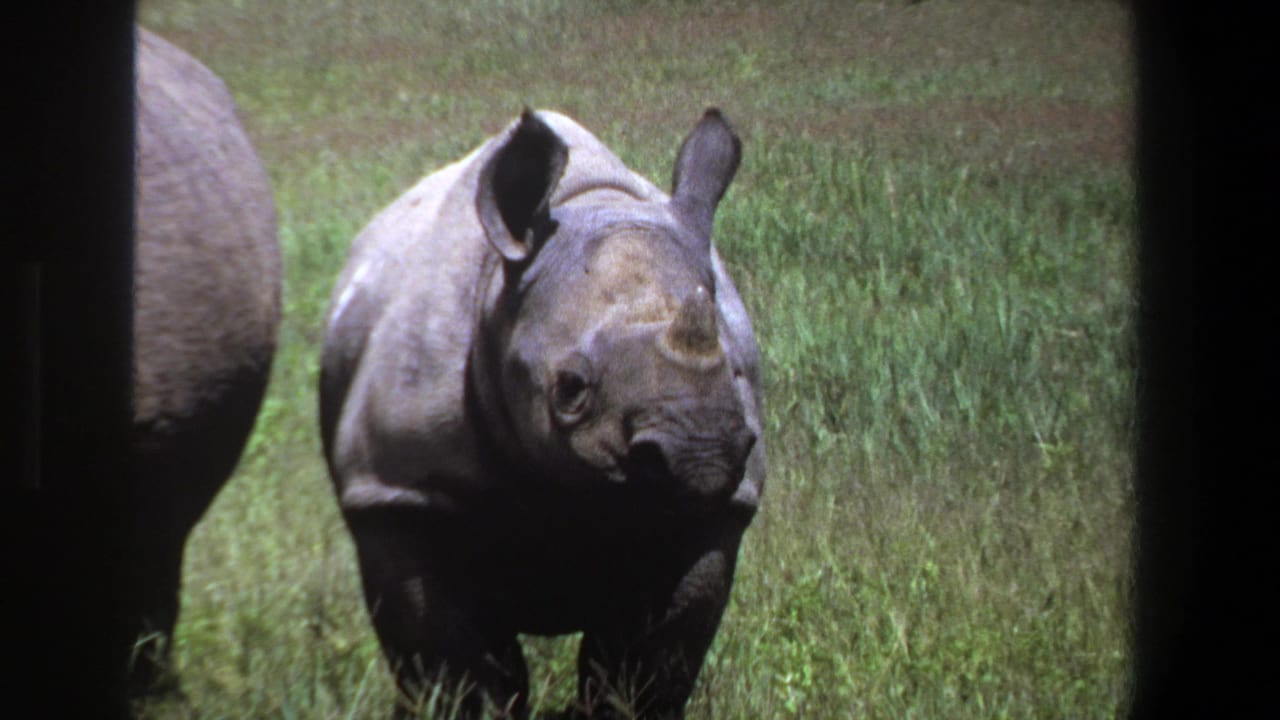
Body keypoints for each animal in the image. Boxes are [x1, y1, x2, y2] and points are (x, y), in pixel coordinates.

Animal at [320, 108, 763, 719]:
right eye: (570, 389)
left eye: (737, 372)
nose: (702, 457)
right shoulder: (398, 491)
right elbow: (456, 670)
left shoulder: (711, 513)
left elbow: (644, 669)